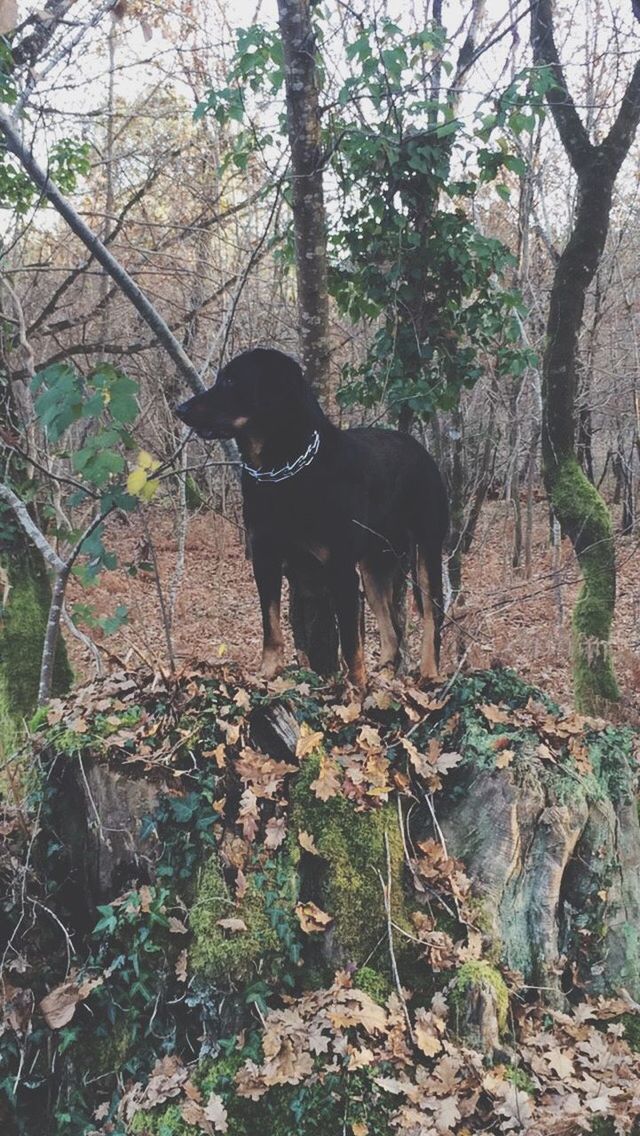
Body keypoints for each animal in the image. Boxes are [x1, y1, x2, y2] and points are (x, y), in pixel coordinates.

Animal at [172, 345, 447, 686]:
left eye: (231, 381)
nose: (180, 409)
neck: (283, 471)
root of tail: (421, 450)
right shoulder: (265, 558)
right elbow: (271, 626)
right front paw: (268, 672)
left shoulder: (340, 567)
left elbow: (351, 642)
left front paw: (356, 687)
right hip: (374, 565)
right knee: (391, 630)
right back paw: (384, 669)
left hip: (427, 547)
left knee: (432, 614)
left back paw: (429, 671)